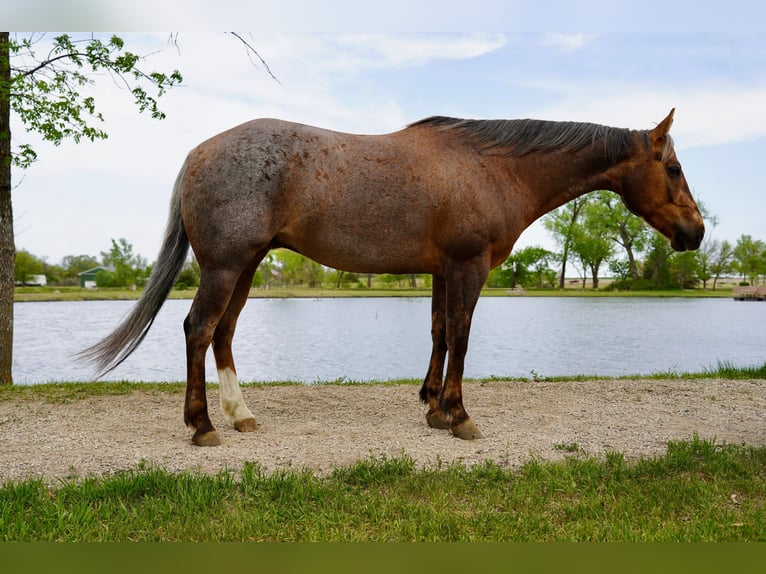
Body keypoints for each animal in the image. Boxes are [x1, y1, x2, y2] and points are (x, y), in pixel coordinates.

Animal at [82, 109, 704, 446]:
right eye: (673, 168)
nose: (695, 233)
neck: (494, 167)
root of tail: (199, 153)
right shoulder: (467, 266)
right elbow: (461, 335)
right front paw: (458, 416)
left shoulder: (442, 270)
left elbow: (439, 333)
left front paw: (433, 407)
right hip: (226, 265)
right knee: (198, 330)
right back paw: (202, 425)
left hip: (247, 266)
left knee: (224, 334)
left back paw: (241, 415)